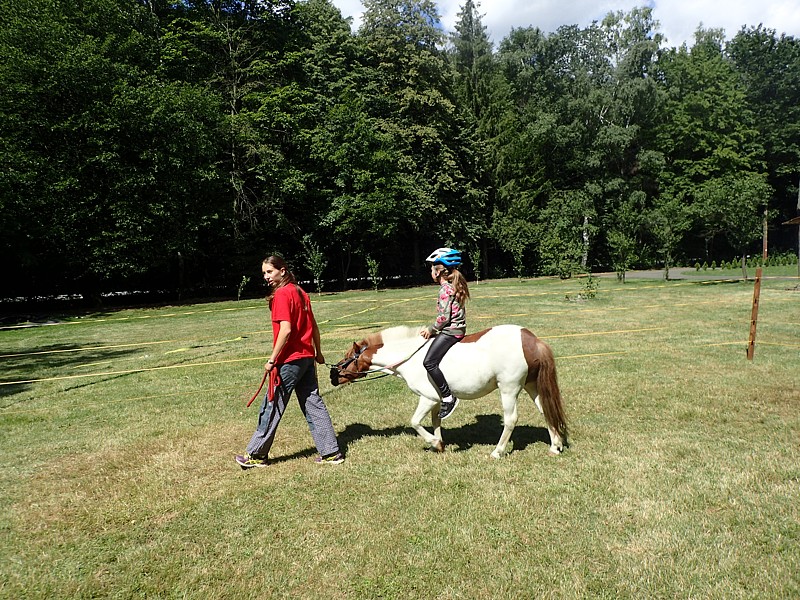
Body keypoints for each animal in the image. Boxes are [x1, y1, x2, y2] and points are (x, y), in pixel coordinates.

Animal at [332, 326, 568, 458]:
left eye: (347, 358)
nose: (333, 377)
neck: (410, 356)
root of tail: (531, 339)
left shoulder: (427, 398)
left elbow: (415, 422)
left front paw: (434, 443)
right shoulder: (437, 400)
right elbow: (436, 421)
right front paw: (439, 444)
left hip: (509, 389)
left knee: (511, 420)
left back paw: (497, 452)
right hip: (532, 386)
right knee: (546, 411)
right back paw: (555, 447)